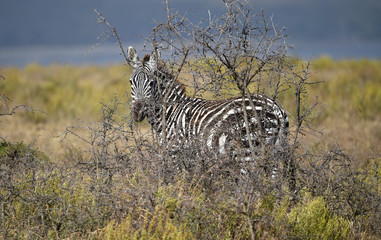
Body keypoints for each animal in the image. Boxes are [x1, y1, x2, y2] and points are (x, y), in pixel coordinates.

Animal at [127, 46, 288, 160]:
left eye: (152, 83)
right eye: (131, 82)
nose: (138, 112)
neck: (170, 113)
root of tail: (275, 107)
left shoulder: (176, 152)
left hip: (246, 148)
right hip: (276, 151)